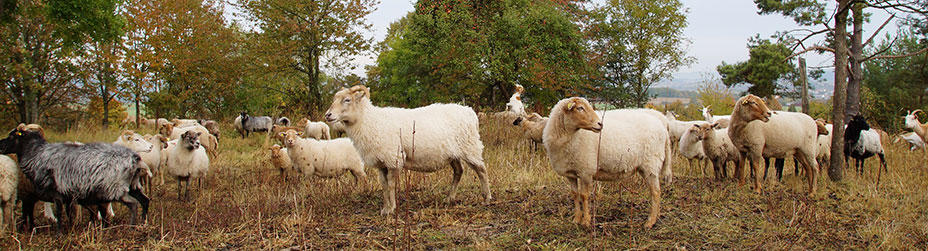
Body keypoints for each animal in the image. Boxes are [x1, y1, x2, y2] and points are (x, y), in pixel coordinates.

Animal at [0, 128, 149, 228]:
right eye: (136, 139)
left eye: (11, 136)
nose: (0, 145)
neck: (36, 153)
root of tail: (134, 158)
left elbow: (64, 211)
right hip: (129, 186)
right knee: (143, 201)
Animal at [322, 85, 490, 215]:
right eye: (334, 100)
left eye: (347, 100)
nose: (327, 115)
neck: (370, 121)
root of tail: (470, 111)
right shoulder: (381, 163)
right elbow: (384, 186)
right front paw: (385, 208)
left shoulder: (393, 158)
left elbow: (391, 185)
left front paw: (391, 209)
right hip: (453, 153)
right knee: (458, 171)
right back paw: (449, 198)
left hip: (470, 147)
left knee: (481, 170)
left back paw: (487, 198)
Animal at [540, 97, 672, 228]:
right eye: (580, 108)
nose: (600, 124)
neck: (570, 137)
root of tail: (661, 122)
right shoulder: (570, 173)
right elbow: (575, 194)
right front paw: (576, 219)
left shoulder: (586, 171)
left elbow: (584, 195)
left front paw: (586, 221)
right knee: (657, 191)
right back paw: (657, 216)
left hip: (651, 164)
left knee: (655, 192)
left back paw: (650, 221)